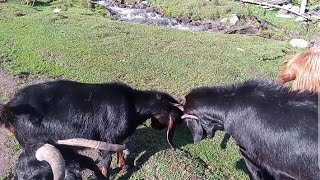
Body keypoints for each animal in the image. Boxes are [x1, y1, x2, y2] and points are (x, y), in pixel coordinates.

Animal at [0, 80, 182, 179]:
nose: (155, 126)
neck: (133, 105)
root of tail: (10, 109)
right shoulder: (108, 137)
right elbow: (107, 161)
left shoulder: (116, 138)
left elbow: (121, 151)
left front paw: (125, 167)